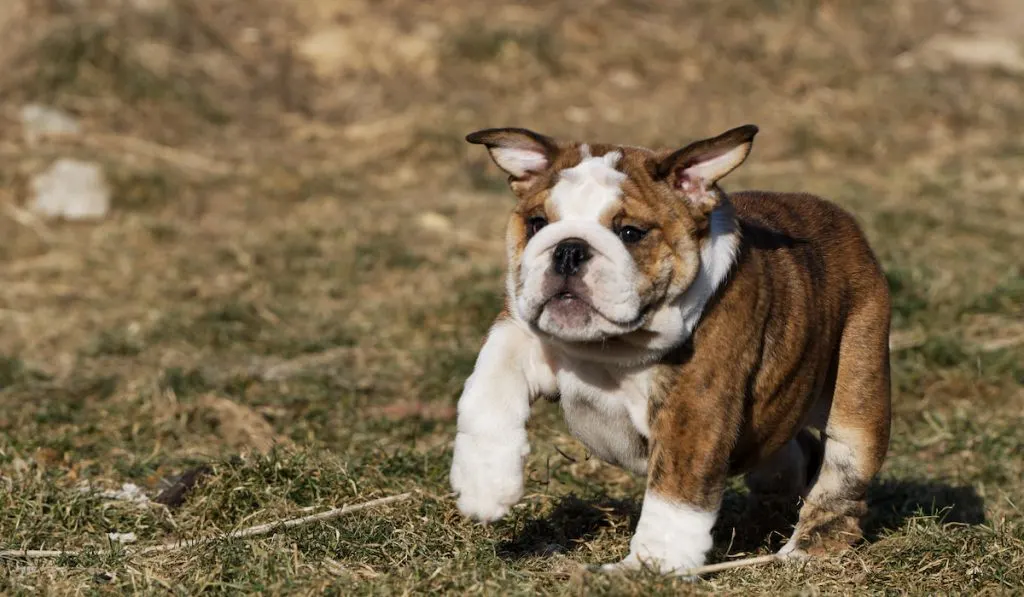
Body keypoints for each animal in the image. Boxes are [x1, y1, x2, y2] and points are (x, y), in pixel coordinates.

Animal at [448, 124, 888, 573]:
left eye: (630, 233)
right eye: (537, 223)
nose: (569, 248)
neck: (611, 348)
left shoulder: (693, 406)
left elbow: (675, 494)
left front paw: (649, 567)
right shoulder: (518, 331)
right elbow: (488, 389)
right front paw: (484, 483)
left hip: (857, 391)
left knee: (843, 474)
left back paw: (807, 547)